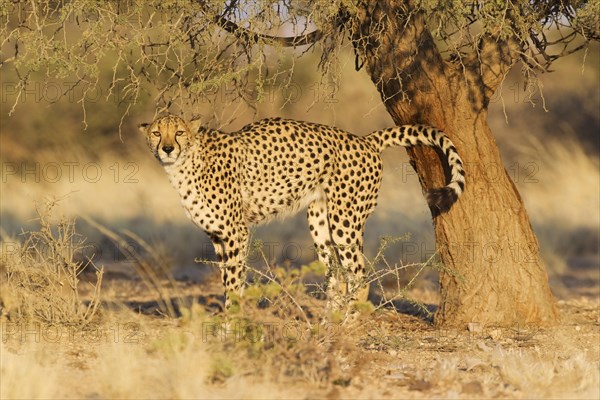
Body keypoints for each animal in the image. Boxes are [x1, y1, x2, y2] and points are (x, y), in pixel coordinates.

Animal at [139, 115, 464, 310]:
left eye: (179, 132)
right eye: (156, 132)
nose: (167, 148)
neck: (186, 163)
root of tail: (364, 139)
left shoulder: (235, 233)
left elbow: (233, 284)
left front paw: (230, 328)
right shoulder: (218, 237)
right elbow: (228, 282)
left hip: (345, 221)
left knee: (359, 278)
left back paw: (346, 330)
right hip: (319, 221)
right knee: (337, 278)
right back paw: (327, 328)